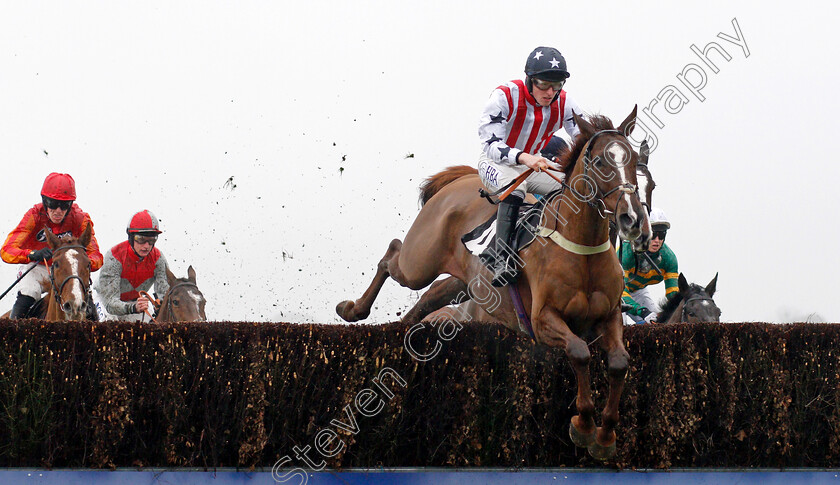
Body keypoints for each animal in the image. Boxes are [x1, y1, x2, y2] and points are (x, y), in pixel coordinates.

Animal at [338, 108, 652, 460]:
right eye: (599, 162)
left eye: (634, 163)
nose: (633, 220)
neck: (580, 247)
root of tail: (460, 179)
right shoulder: (543, 320)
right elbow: (580, 352)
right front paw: (583, 426)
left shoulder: (608, 316)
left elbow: (619, 363)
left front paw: (606, 435)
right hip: (418, 262)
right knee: (393, 255)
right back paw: (352, 309)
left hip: (463, 281)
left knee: (431, 293)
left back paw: (402, 329)